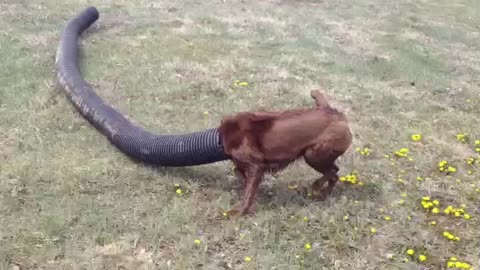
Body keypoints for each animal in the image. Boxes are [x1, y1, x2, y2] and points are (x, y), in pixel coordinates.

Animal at [218, 89, 352, 216]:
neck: (220, 138)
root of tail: (333, 112)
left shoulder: (256, 167)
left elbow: (248, 194)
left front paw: (239, 212)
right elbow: (239, 173)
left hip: (312, 155)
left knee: (333, 171)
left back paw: (316, 187)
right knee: (334, 175)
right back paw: (323, 195)